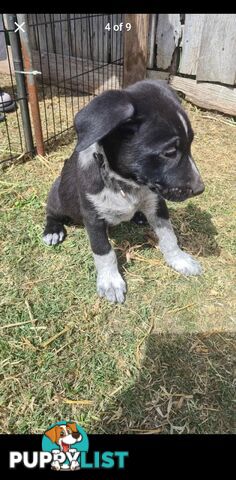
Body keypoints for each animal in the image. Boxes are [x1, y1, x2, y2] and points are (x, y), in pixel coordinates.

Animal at [42, 79, 205, 304]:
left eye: (190, 144)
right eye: (170, 152)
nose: (200, 189)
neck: (124, 183)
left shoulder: (157, 203)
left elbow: (169, 235)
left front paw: (179, 258)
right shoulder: (92, 217)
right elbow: (104, 251)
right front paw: (110, 281)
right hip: (58, 196)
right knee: (50, 212)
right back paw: (53, 230)